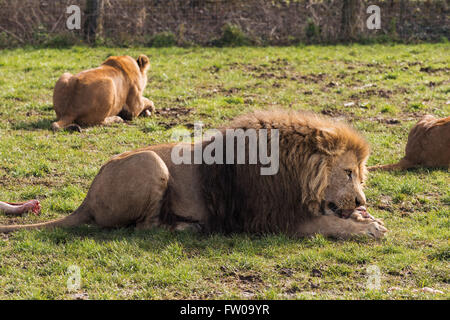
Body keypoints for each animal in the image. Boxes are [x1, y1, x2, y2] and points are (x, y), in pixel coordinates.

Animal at [0, 111, 386, 239]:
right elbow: (327, 224)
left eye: (359, 174)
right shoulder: (270, 218)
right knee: (145, 227)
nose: (362, 200)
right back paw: (187, 227)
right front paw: (369, 228)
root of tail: (87, 197)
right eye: (348, 172)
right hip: (151, 165)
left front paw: (366, 217)